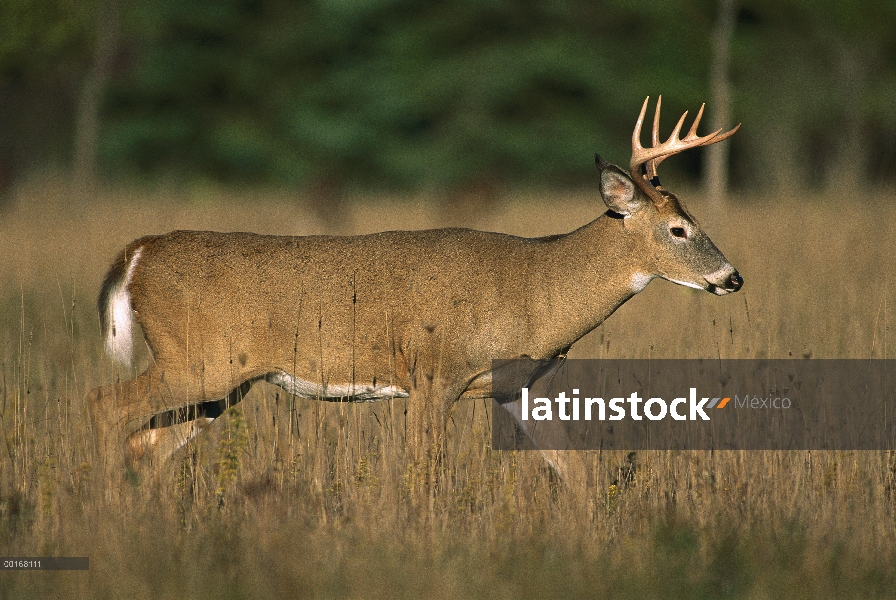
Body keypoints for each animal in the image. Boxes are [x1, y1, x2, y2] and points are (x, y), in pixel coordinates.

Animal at [87, 96, 744, 476]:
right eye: (679, 228)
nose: (732, 277)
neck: (538, 289)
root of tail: (136, 253)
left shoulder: (516, 387)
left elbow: (575, 470)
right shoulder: (434, 372)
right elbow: (423, 472)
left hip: (222, 382)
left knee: (144, 444)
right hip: (198, 360)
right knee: (103, 407)